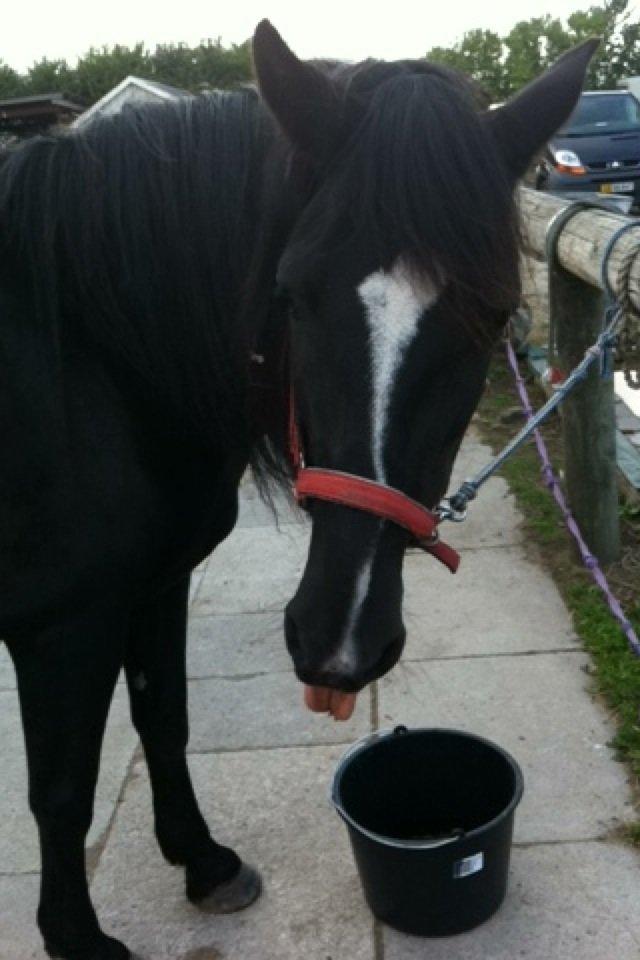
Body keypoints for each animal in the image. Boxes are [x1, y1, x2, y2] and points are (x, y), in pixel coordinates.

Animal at [1, 20, 596, 960]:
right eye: (291, 293)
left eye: (497, 314)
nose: (338, 646)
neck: (84, 356)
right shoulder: (63, 625)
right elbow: (62, 788)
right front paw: (78, 939)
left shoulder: (155, 585)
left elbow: (165, 720)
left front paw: (204, 863)